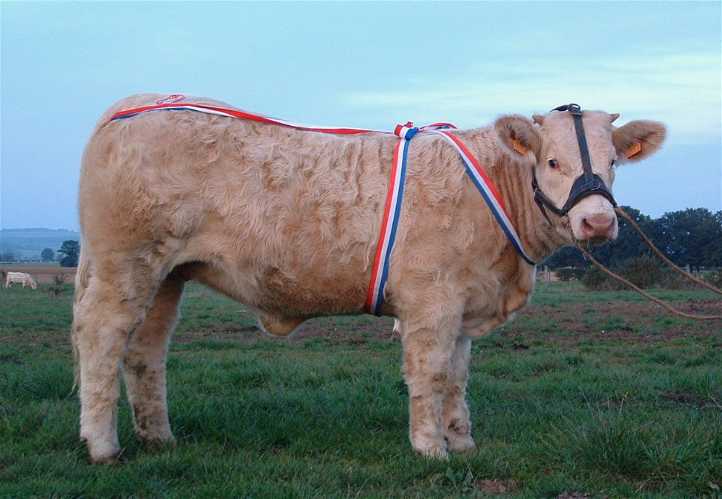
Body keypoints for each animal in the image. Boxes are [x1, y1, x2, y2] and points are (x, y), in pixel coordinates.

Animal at [72, 94, 665, 463]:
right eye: (552, 162)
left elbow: (458, 377)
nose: (598, 221)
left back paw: (159, 439)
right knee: (101, 340)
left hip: (168, 275)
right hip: (125, 260)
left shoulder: (465, 303)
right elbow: (430, 374)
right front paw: (430, 448)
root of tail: (129, 107)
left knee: (145, 351)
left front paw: (462, 442)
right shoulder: (431, 301)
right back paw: (103, 446)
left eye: (613, 162)